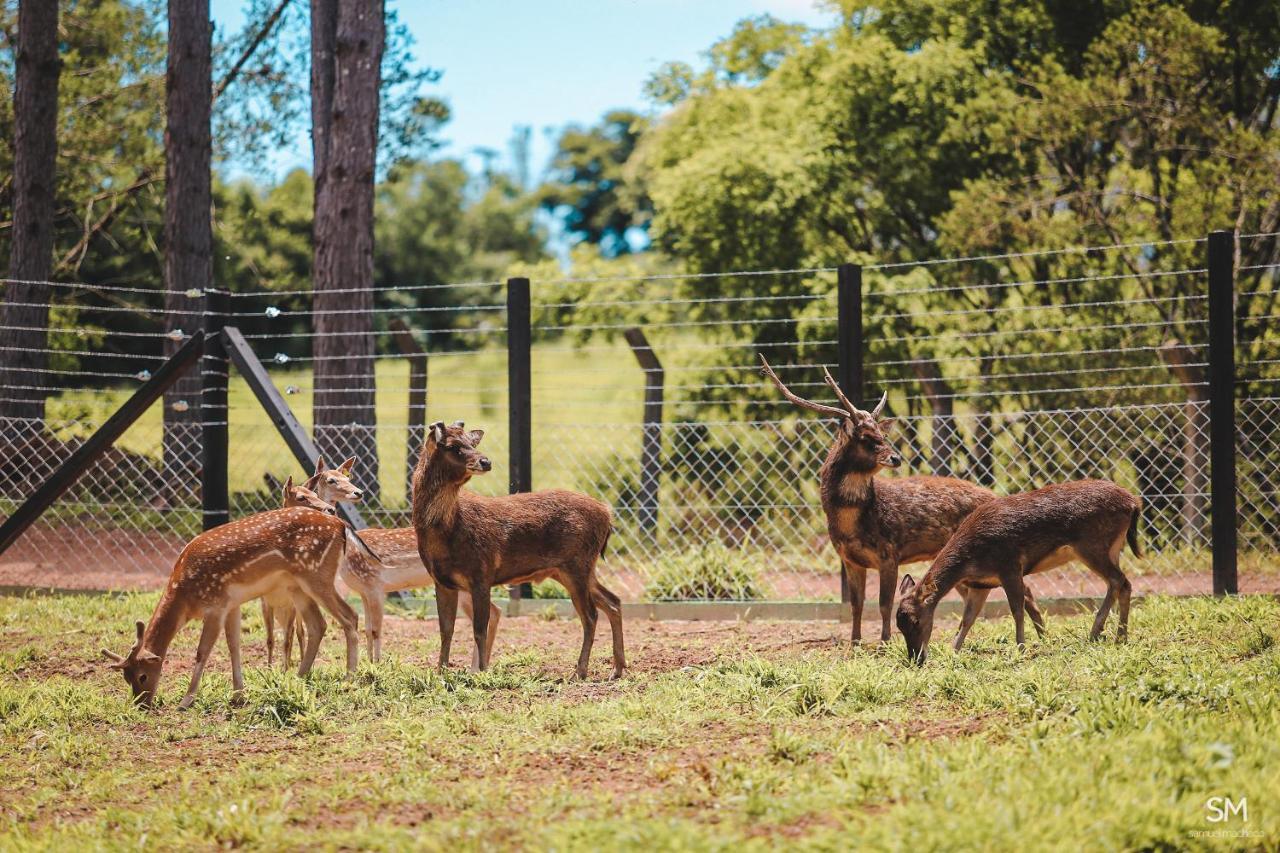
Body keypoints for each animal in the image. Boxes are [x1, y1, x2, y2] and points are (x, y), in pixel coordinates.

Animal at [104, 502, 373, 706]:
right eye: (125, 678)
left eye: (142, 676)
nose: (141, 704)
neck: (185, 597)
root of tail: (341, 525)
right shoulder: (232, 604)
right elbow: (234, 646)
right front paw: (238, 694)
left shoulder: (216, 604)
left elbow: (202, 651)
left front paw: (186, 700)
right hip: (298, 585)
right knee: (318, 624)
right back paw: (298, 677)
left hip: (317, 575)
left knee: (350, 616)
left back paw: (349, 679)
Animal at [414, 420, 624, 676]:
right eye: (453, 446)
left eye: (472, 443)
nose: (486, 461)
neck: (446, 533)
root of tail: (607, 515)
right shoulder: (442, 581)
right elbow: (446, 630)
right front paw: (441, 672)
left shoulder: (481, 573)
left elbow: (479, 629)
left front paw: (481, 672)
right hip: (573, 569)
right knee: (613, 602)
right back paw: (617, 668)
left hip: (577, 564)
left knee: (591, 615)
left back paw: (580, 671)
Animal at [752, 353, 1044, 645]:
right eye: (865, 438)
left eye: (883, 436)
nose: (895, 458)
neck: (852, 524)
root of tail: (997, 496)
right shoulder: (849, 559)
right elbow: (856, 604)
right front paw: (855, 642)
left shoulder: (889, 552)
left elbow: (884, 604)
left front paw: (884, 641)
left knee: (1025, 589)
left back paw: (1040, 634)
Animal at [890, 473, 1141, 660]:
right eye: (899, 625)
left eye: (915, 620)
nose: (916, 658)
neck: (970, 560)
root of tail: (1133, 503)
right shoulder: (981, 584)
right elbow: (968, 618)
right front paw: (953, 650)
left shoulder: (1009, 564)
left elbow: (1016, 609)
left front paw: (1020, 647)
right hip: (1111, 548)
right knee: (1122, 583)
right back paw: (1117, 636)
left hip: (1092, 545)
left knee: (1118, 580)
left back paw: (1101, 633)